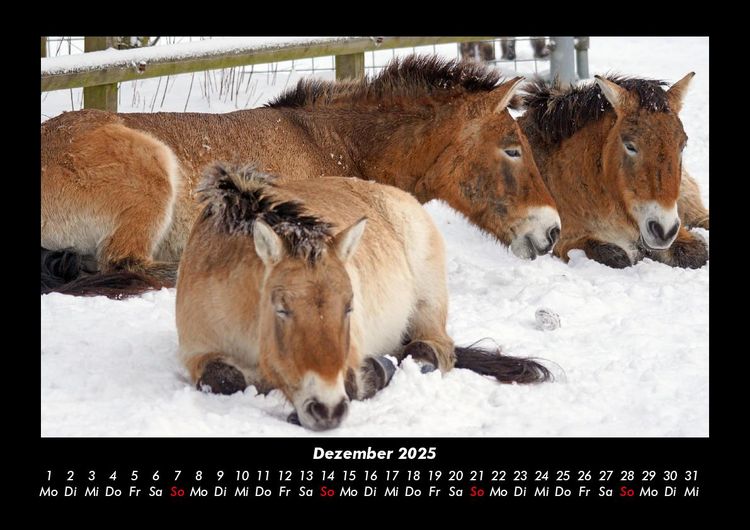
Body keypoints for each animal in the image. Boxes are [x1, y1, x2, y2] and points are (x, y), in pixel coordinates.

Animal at [176, 163, 551, 431]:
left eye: (349, 307)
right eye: (281, 309)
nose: (326, 409)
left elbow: (355, 382)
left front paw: (376, 371)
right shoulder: (197, 353)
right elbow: (223, 378)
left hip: (428, 304)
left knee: (432, 349)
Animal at [518, 74, 709, 268]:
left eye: (683, 145)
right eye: (630, 146)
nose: (663, 230)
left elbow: (696, 253)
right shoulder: (563, 240)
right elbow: (614, 255)